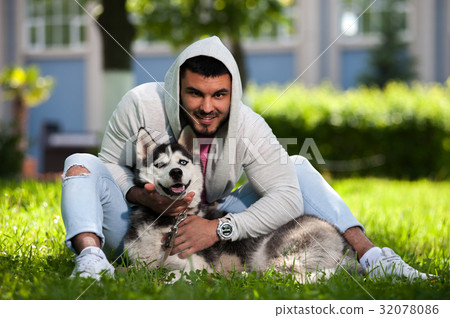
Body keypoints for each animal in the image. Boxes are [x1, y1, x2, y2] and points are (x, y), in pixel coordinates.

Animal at [125, 128, 364, 282]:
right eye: (160, 165)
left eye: (182, 162)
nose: (176, 172)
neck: (167, 221)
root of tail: (341, 238)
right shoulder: (138, 263)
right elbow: (134, 270)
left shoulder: (197, 265)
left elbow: (171, 275)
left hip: (276, 253)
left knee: (289, 278)